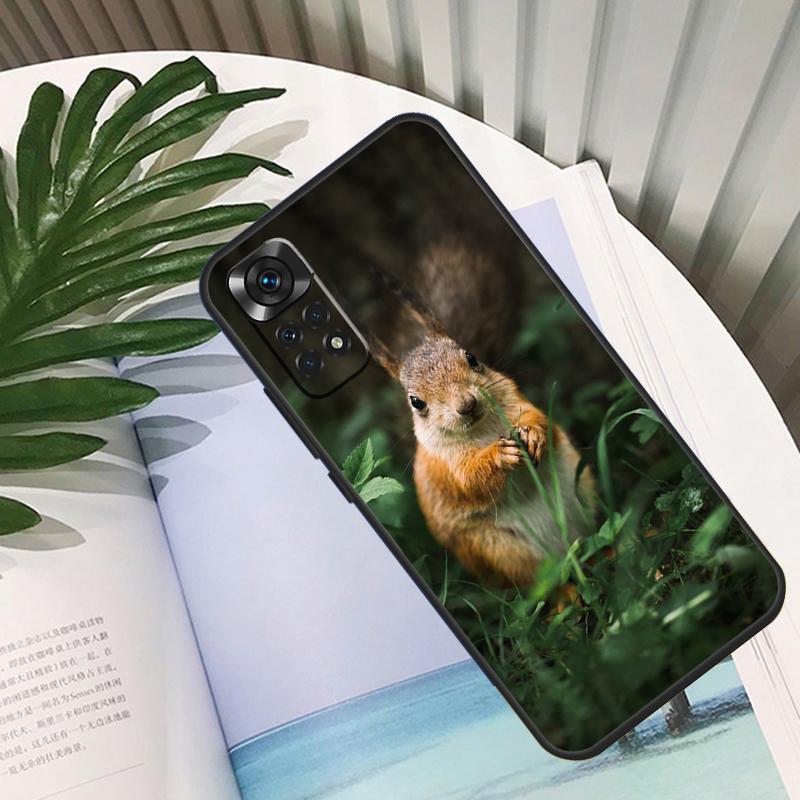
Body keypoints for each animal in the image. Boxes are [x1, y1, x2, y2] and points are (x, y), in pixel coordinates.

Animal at [372, 237, 596, 588]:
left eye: (472, 357)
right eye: (416, 402)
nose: (467, 404)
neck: (482, 429)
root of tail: (564, 547)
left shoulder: (516, 398)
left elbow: (539, 418)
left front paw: (533, 434)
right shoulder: (443, 469)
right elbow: (470, 481)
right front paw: (497, 457)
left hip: (581, 489)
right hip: (501, 552)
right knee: (543, 585)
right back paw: (567, 593)